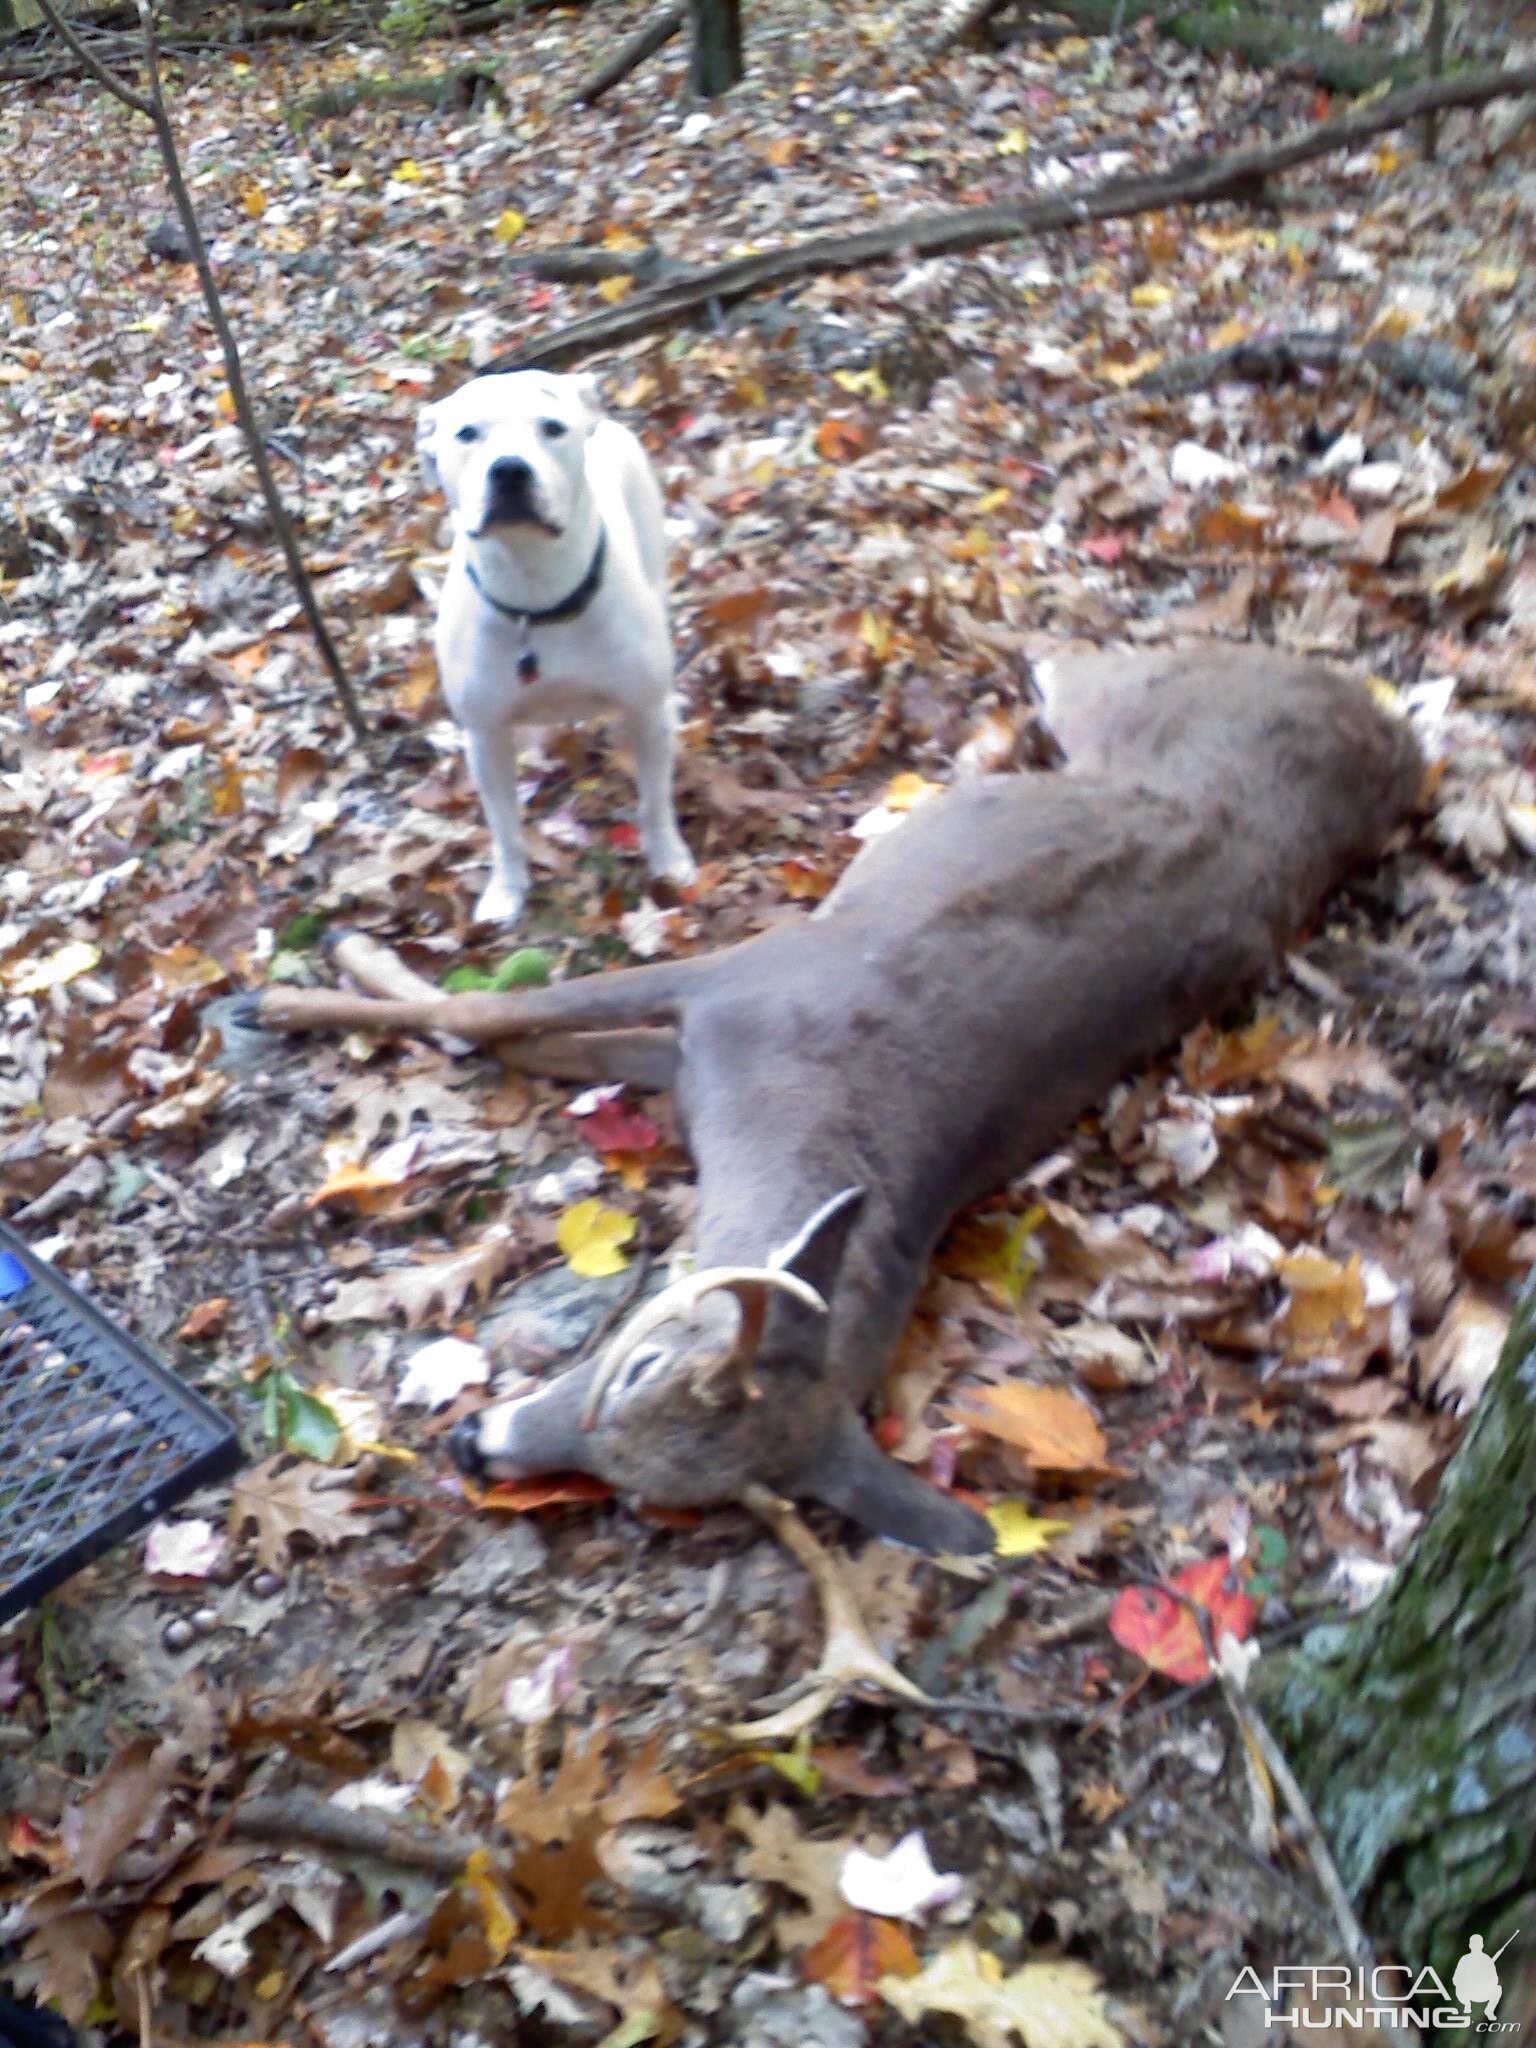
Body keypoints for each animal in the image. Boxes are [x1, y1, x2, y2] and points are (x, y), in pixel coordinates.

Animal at [240, 647, 1417, 1736]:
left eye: (655, 1484)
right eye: (638, 1363)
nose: (469, 1444)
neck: (794, 1126)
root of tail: (1389, 737)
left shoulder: (730, 1005)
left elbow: (488, 1025)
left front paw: (312, 982)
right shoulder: (737, 986)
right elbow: (496, 1022)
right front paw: (309, 980)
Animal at [415, 372, 692, 925]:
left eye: (552, 428)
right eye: (466, 433)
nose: (509, 469)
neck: (535, 596)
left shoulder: (645, 711)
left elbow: (654, 800)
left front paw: (668, 859)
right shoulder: (486, 737)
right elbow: (503, 826)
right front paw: (507, 890)